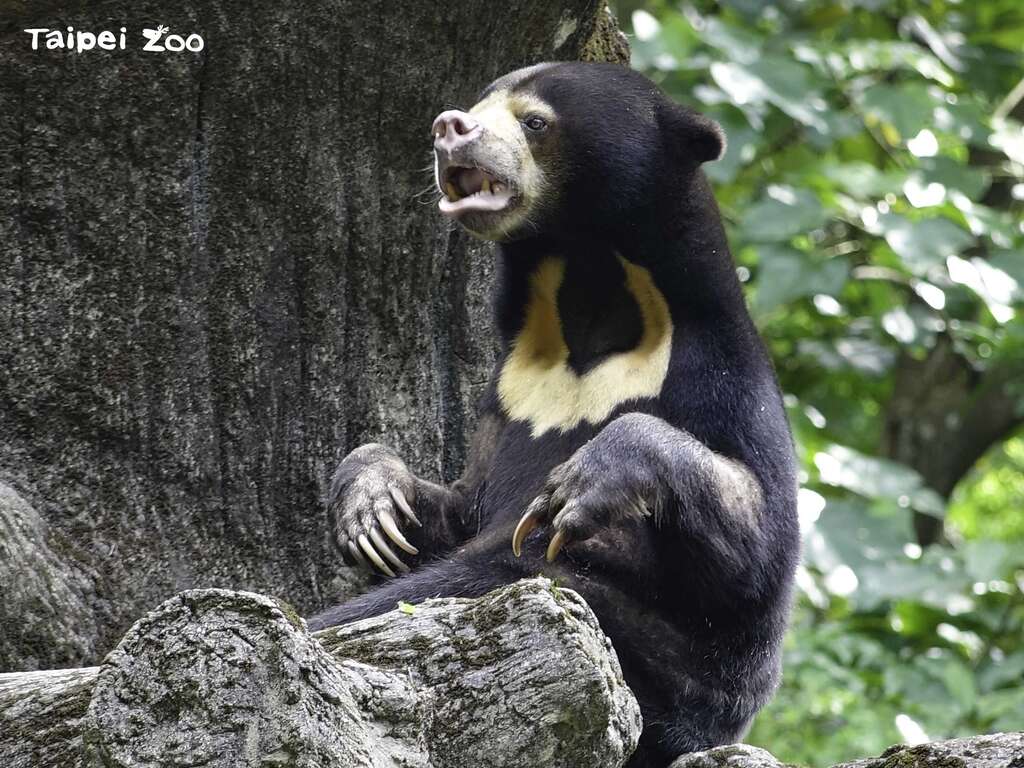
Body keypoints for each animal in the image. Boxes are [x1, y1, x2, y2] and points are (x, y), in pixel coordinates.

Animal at [308, 62, 800, 768]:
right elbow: (462, 502)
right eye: (479, 103)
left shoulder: (721, 377)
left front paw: (573, 488)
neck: (587, 289)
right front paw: (372, 510)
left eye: (534, 120)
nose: (448, 128)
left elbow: (756, 555)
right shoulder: (511, 390)